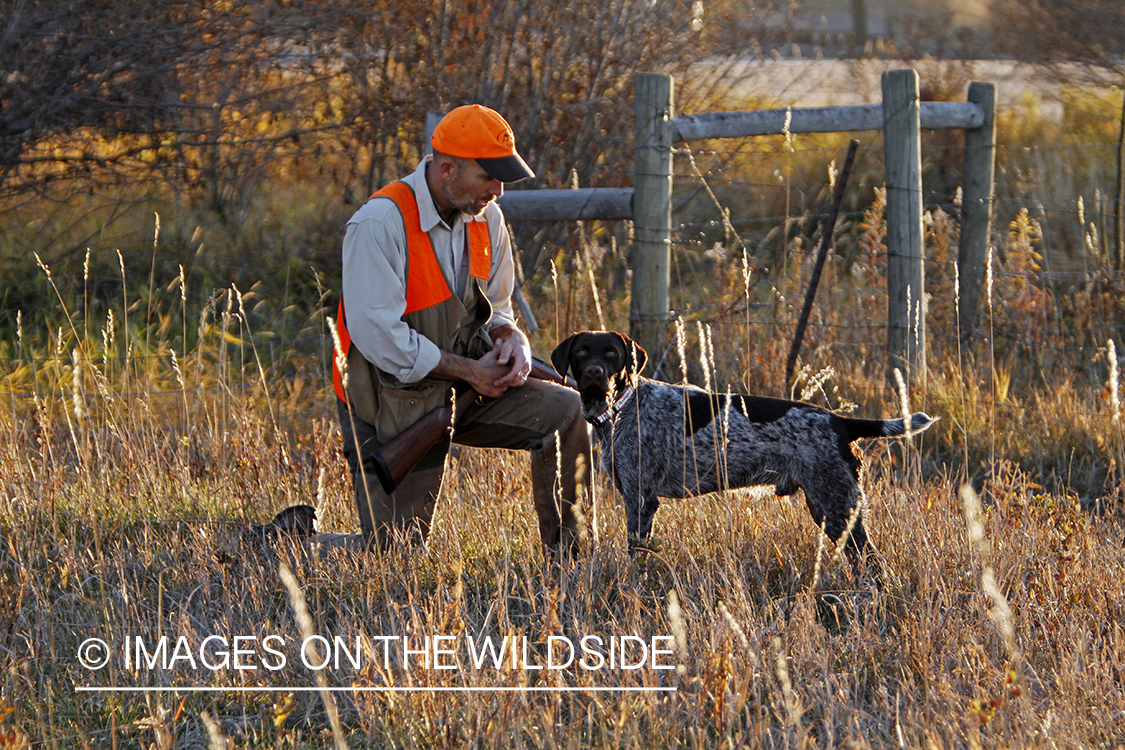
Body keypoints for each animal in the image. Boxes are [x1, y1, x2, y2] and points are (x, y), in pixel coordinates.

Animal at [549, 330, 936, 571]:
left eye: (612, 353)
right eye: (581, 352)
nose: (595, 374)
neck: (625, 407)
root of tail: (840, 421)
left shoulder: (641, 499)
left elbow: (636, 553)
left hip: (837, 505)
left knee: (871, 562)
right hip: (825, 506)